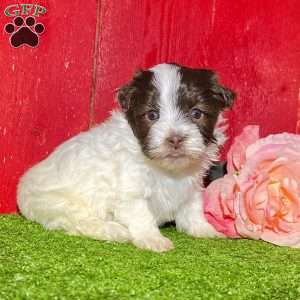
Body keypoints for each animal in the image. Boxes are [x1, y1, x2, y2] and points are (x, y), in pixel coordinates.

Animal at [17, 62, 236, 251]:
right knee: (80, 220)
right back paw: (113, 230)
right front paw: (152, 239)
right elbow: (141, 214)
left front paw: (205, 229)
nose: (175, 139)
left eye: (196, 113)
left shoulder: (192, 186)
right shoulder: (131, 190)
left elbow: (193, 208)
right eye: (152, 115)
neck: (168, 170)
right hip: (58, 204)